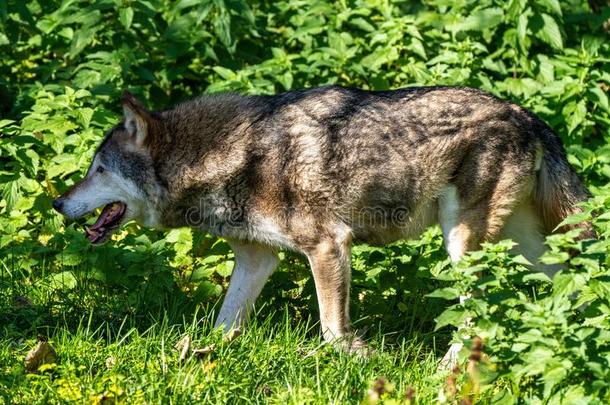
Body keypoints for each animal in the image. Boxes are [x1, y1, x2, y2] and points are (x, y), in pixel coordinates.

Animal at [52, 85, 588, 362]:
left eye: (98, 169)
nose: (58, 203)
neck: (228, 157)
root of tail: (529, 116)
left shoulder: (330, 245)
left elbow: (332, 331)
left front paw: (351, 363)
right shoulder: (258, 258)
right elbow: (225, 323)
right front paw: (196, 354)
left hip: (462, 246)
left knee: (477, 315)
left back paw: (448, 369)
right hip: (528, 250)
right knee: (570, 283)